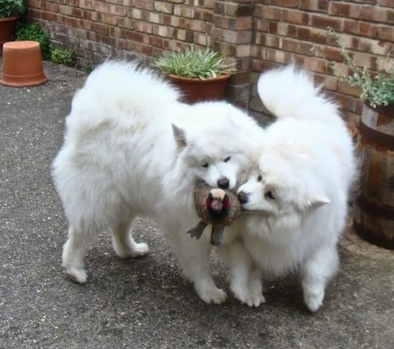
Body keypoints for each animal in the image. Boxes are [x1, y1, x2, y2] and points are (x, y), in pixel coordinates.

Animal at [50, 61, 264, 304]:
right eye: (204, 164)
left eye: (228, 158)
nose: (223, 182)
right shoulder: (188, 232)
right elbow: (200, 266)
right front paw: (209, 291)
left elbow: (246, 263)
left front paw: (248, 292)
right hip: (98, 201)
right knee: (78, 236)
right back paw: (74, 270)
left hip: (128, 197)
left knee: (120, 228)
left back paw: (130, 250)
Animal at [219, 65, 358, 310]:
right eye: (259, 176)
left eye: (271, 195)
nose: (242, 195)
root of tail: (303, 116)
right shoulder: (251, 243)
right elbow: (249, 268)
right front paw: (251, 292)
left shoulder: (318, 239)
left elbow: (314, 269)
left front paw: (313, 299)